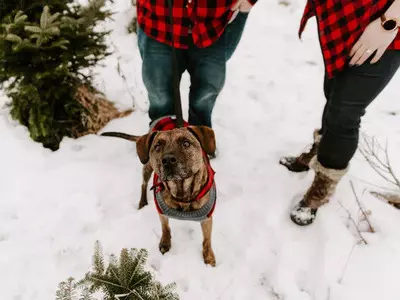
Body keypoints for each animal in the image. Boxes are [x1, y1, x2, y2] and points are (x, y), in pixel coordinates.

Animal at [101, 125, 217, 266]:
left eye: (186, 143)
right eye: (157, 146)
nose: (168, 160)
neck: (181, 193)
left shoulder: (207, 218)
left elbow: (207, 239)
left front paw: (208, 256)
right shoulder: (162, 211)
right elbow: (165, 228)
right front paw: (165, 243)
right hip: (147, 166)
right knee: (143, 184)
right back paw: (142, 202)